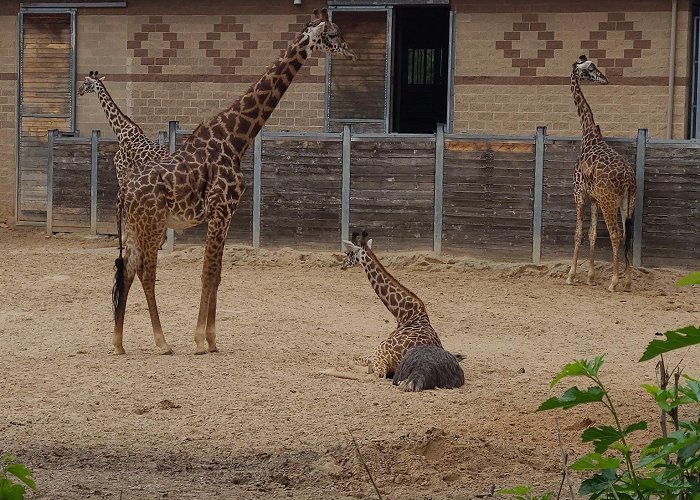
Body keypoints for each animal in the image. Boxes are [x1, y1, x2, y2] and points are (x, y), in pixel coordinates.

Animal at [340, 231, 442, 378]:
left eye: (349, 253)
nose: (342, 264)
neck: (405, 314)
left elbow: (353, 359)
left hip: (379, 353)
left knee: (373, 373)